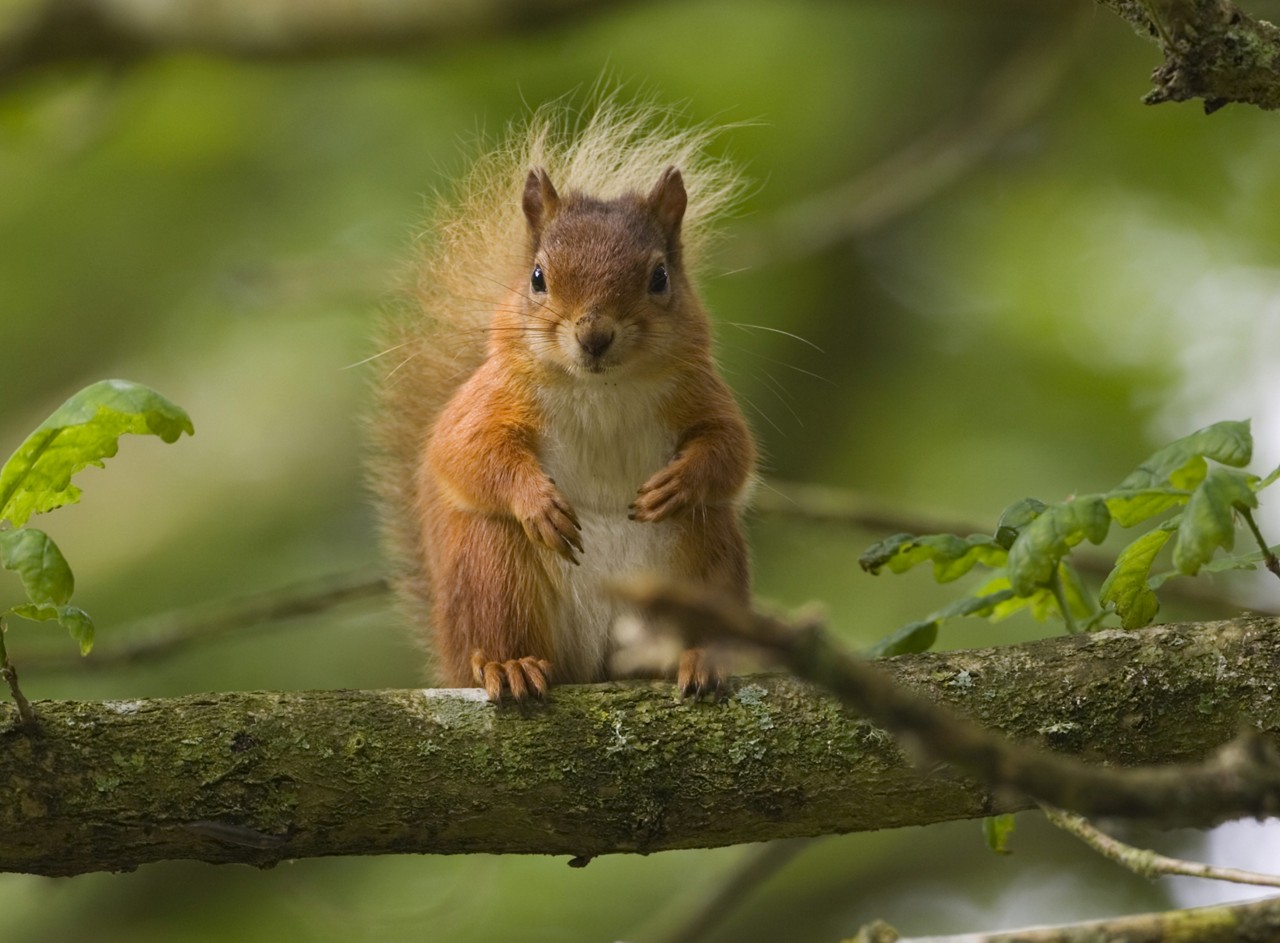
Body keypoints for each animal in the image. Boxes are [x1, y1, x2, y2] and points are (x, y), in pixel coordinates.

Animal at [370, 99, 755, 701]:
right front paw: (537, 502)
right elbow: (465, 451)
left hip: (705, 552)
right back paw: (509, 665)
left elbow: (732, 450)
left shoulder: (702, 392)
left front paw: (680, 482)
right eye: (537, 278)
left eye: (660, 278)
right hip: (494, 569)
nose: (594, 335)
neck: (600, 387)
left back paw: (700, 657)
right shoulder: (488, 399)